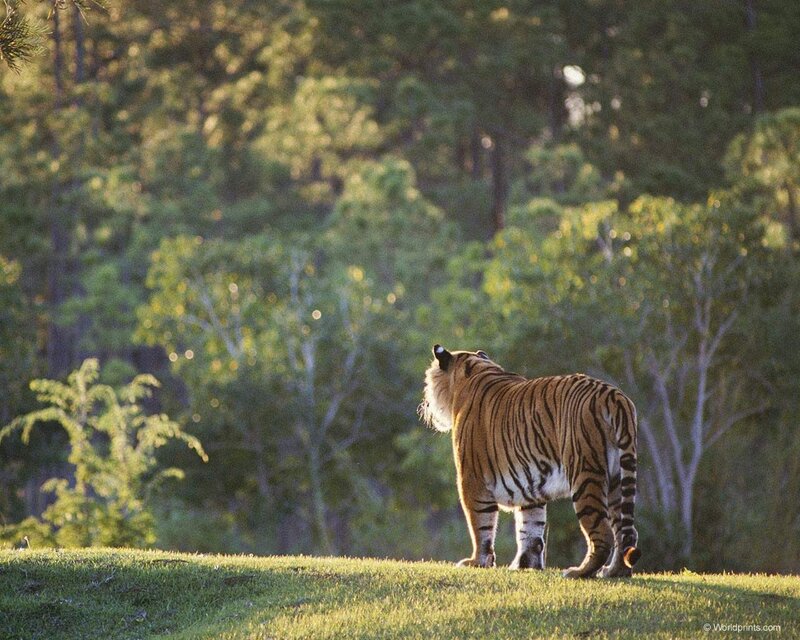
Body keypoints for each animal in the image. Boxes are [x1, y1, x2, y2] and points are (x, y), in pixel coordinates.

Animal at [418, 344, 641, 578]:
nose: (425, 404)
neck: (474, 371)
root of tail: (615, 396)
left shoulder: (471, 479)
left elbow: (481, 525)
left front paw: (477, 561)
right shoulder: (530, 479)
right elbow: (531, 528)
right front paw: (526, 565)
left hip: (585, 474)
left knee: (602, 531)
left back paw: (579, 572)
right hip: (617, 479)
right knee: (626, 531)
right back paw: (615, 571)